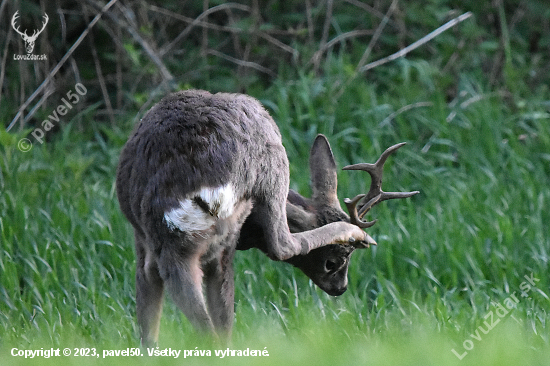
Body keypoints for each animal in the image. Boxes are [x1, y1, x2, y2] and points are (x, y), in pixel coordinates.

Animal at [116, 89, 418, 346]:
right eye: (334, 261)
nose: (340, 288)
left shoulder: (140, 239)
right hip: (269, 164)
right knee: (281, 245)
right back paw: (353, 232)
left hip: (166, 240)